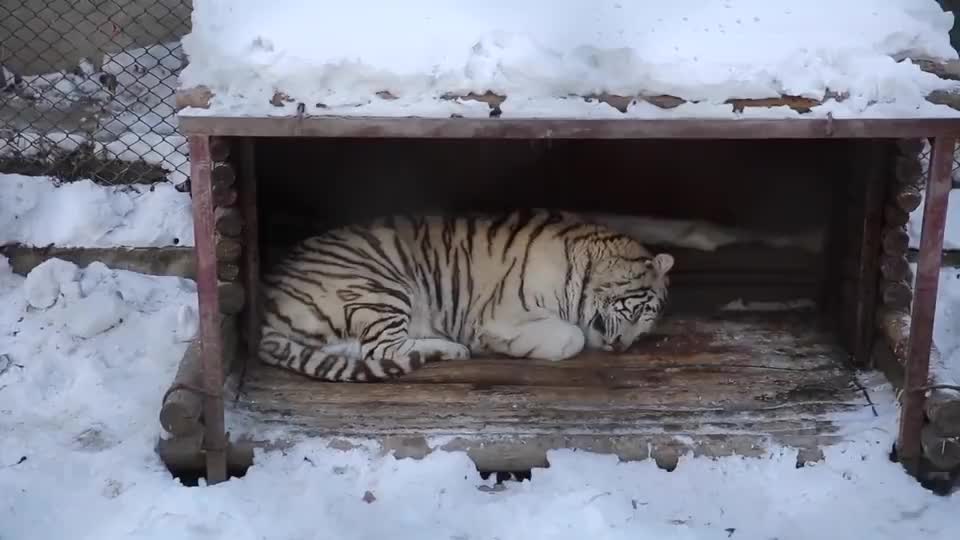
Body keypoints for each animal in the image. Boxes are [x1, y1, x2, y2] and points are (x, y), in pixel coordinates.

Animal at [258, 209, 674, 382]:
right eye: (636, 314)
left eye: (644, 334)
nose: (621, 347)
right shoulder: (500, 312)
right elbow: (570, 337)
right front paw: (504, 345)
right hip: (380, 286)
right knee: (381, 350)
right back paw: (454, 349)